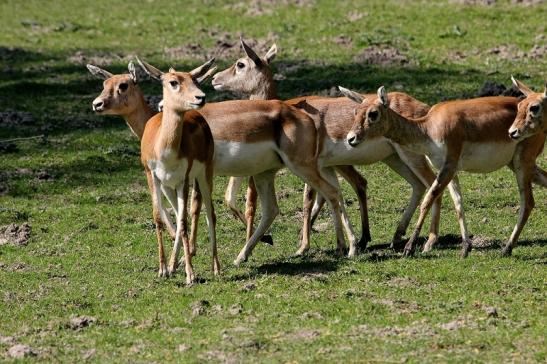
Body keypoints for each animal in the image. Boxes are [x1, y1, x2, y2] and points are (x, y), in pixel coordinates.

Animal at [210, 39, 454, 256]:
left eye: (240, 64)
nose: (214, 79)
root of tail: (424, 108)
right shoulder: (325, 166)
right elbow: (328, 197)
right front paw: (339, 244)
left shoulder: (313, 165)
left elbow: (309, 200)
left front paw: (303, 246)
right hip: (394, 158)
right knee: (418, 186)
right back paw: (394, 237)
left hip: (411, 156)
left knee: (433, 184)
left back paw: (427, 241)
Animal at [346, 85, 547, 258]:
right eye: (356, 112)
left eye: (373, 113)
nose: (351, 138)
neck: (428, 128)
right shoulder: (450, 169)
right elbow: (458, 203)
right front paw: (465, 248)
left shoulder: (449, 165)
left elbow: (428, 200)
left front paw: (409, 248)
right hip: (520, 165)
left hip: (522, 164)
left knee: (528, 202)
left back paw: (507, 248)